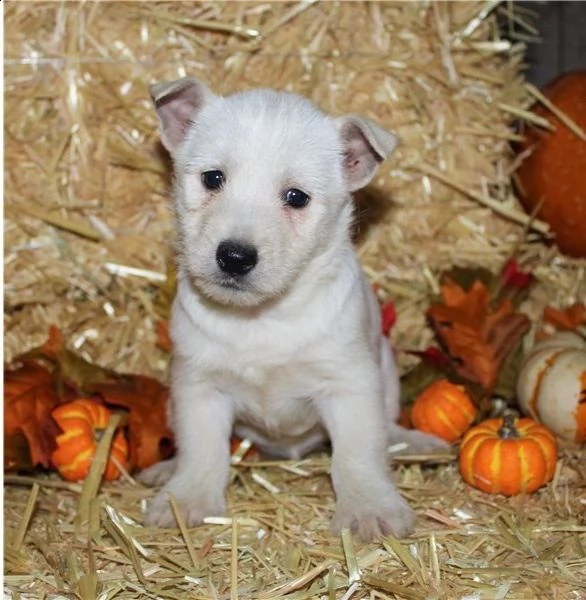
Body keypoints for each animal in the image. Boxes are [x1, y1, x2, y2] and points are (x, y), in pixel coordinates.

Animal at [140, 77, 442, 540]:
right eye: (213, 178)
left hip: (387, 374)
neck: (262, 316)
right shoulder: (199, 388)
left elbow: (358, 454)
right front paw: (186, 498)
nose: (234, 257)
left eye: (296, 197)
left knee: (388, 430)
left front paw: (369, 508)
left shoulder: (350, 387)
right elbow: (202, 451)